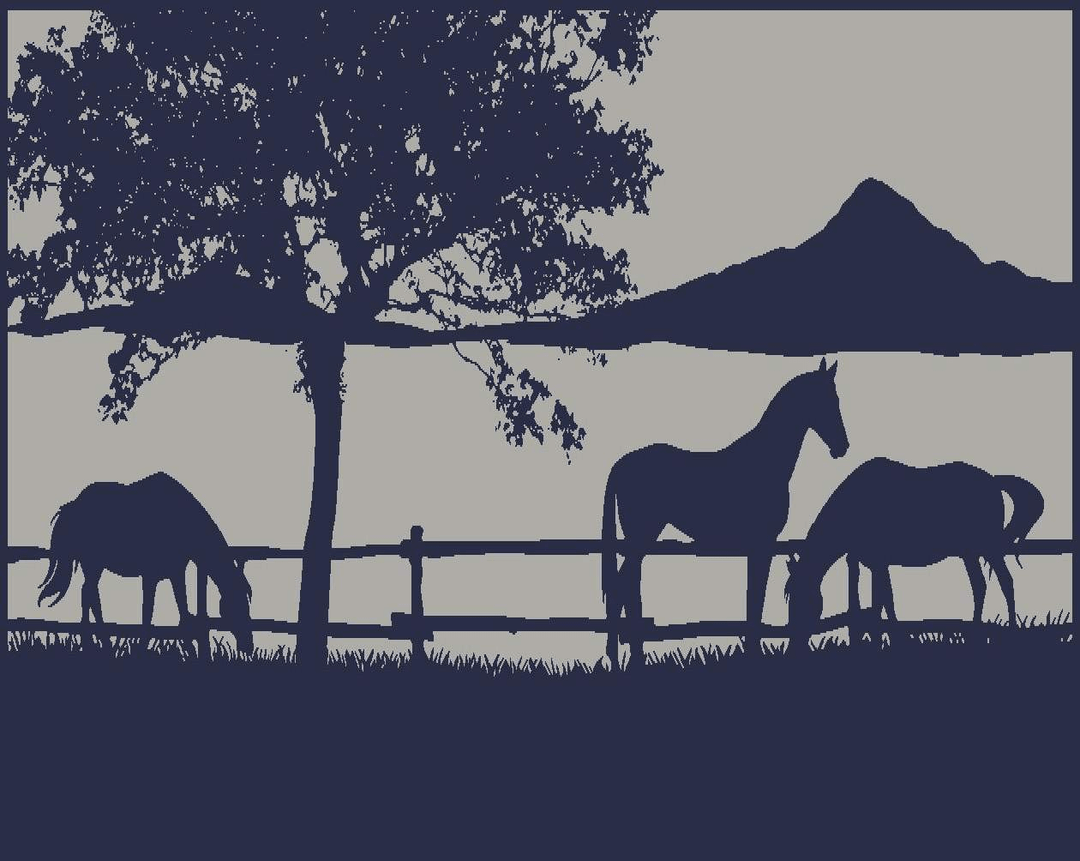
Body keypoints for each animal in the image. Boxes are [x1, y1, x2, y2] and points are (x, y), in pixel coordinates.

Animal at [39, 471, 253, 652]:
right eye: (235, 606)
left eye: (248, 606)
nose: (248, 646)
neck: (181, 521)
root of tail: (74, 504)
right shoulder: (150, 577)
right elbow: (147, 615)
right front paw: (142, 649)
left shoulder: (176, 574)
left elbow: (183, 613)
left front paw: (189, 649)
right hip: (93, 564)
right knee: (89, 594)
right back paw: (97, 643)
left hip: (94, 566)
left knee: (89, 594)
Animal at [600, 356, 851, 665]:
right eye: (828, 400)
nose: (843, 446)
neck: (766, 462)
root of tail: (621, 464)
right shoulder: (762, 544)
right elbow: (755, 601)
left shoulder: (757, 547)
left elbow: (752, 601)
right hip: (640, 538)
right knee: (624, 588)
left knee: (622, 587)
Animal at [786, 455, 1045, 643]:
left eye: (802, 601)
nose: (795, 644)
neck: (855, 505)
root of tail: (992, 480)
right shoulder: (869, 563)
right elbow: (877, 605)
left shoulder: (879, 563)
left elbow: (885, 603)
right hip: (969, 553)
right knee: (980, 586)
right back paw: (974, 634)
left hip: (988, 548)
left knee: (1006, 582)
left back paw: (1011, 631)